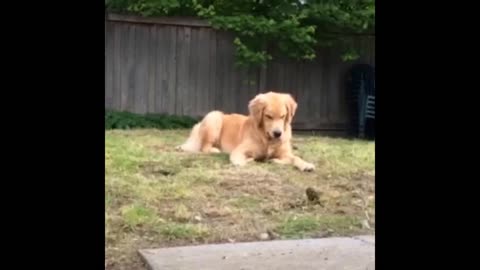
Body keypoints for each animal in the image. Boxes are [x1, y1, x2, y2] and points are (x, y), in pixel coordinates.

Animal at [176, 90, 316, 171]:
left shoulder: (285, 153)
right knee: (204, 148)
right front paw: (243, 162)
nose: (278, 133)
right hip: (214, 116)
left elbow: (295, 158)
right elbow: (240, 159)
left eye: (283, 116)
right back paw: (216, 150)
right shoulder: (240, 150)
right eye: (268, 116)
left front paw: (306, 164)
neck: (267, 139)